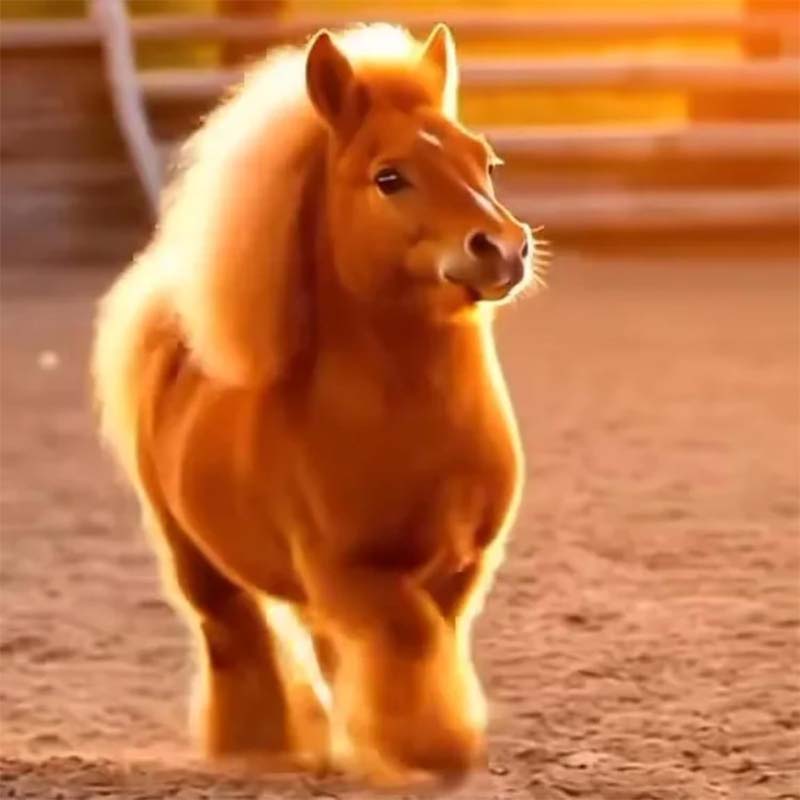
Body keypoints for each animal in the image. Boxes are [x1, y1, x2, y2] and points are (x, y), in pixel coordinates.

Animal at [92, 22, 540, 787]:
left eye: (484, 162)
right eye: (389, 177)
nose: (504, 249)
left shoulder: (457, 569)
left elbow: (425, 650)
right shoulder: (352, 574)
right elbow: (408, 644)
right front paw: (434, 749)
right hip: (194, 556)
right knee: (232, 635)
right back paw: (259, 744)